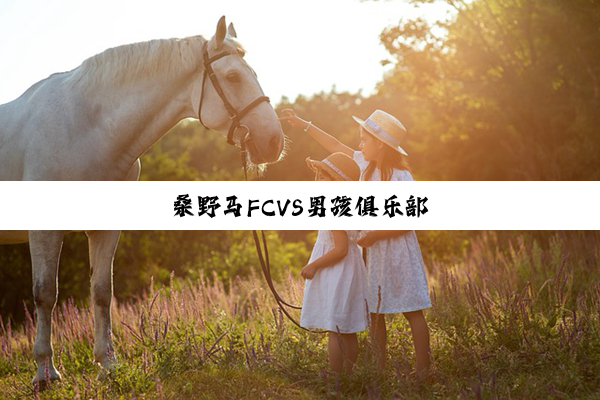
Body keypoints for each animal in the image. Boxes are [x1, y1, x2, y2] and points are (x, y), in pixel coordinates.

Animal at [0, 230, 120, 386]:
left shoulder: (104, 233)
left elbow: (102, 291)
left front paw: (109, 365)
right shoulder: (44, 234)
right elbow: (46, 292)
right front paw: (46, 373)